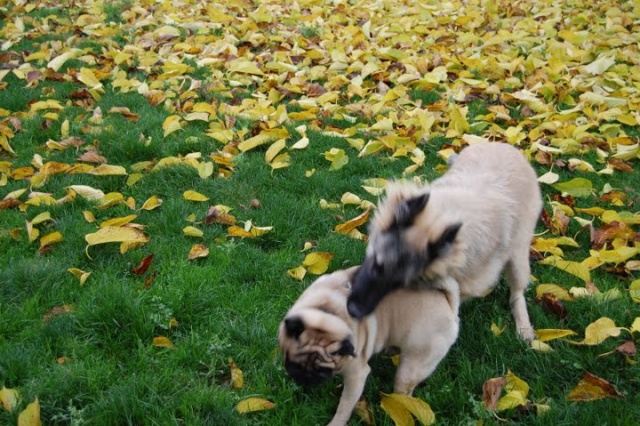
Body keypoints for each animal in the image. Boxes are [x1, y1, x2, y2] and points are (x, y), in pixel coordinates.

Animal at [278, 266, 458, 426]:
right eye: (294, 363)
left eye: (323, 372)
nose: (306, 378)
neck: (328, 314)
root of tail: (447, 303)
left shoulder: (356, 375)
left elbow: (345, 406)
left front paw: (336, 423)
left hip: (410, 368)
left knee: (405, 392)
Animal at [348, 141, 544, 342]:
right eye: (376, 265)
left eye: (399, 283)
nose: (355, 312)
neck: (444, 214)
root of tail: (509, 147)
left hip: (518, 257)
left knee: (517, 291)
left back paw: (524, 327)